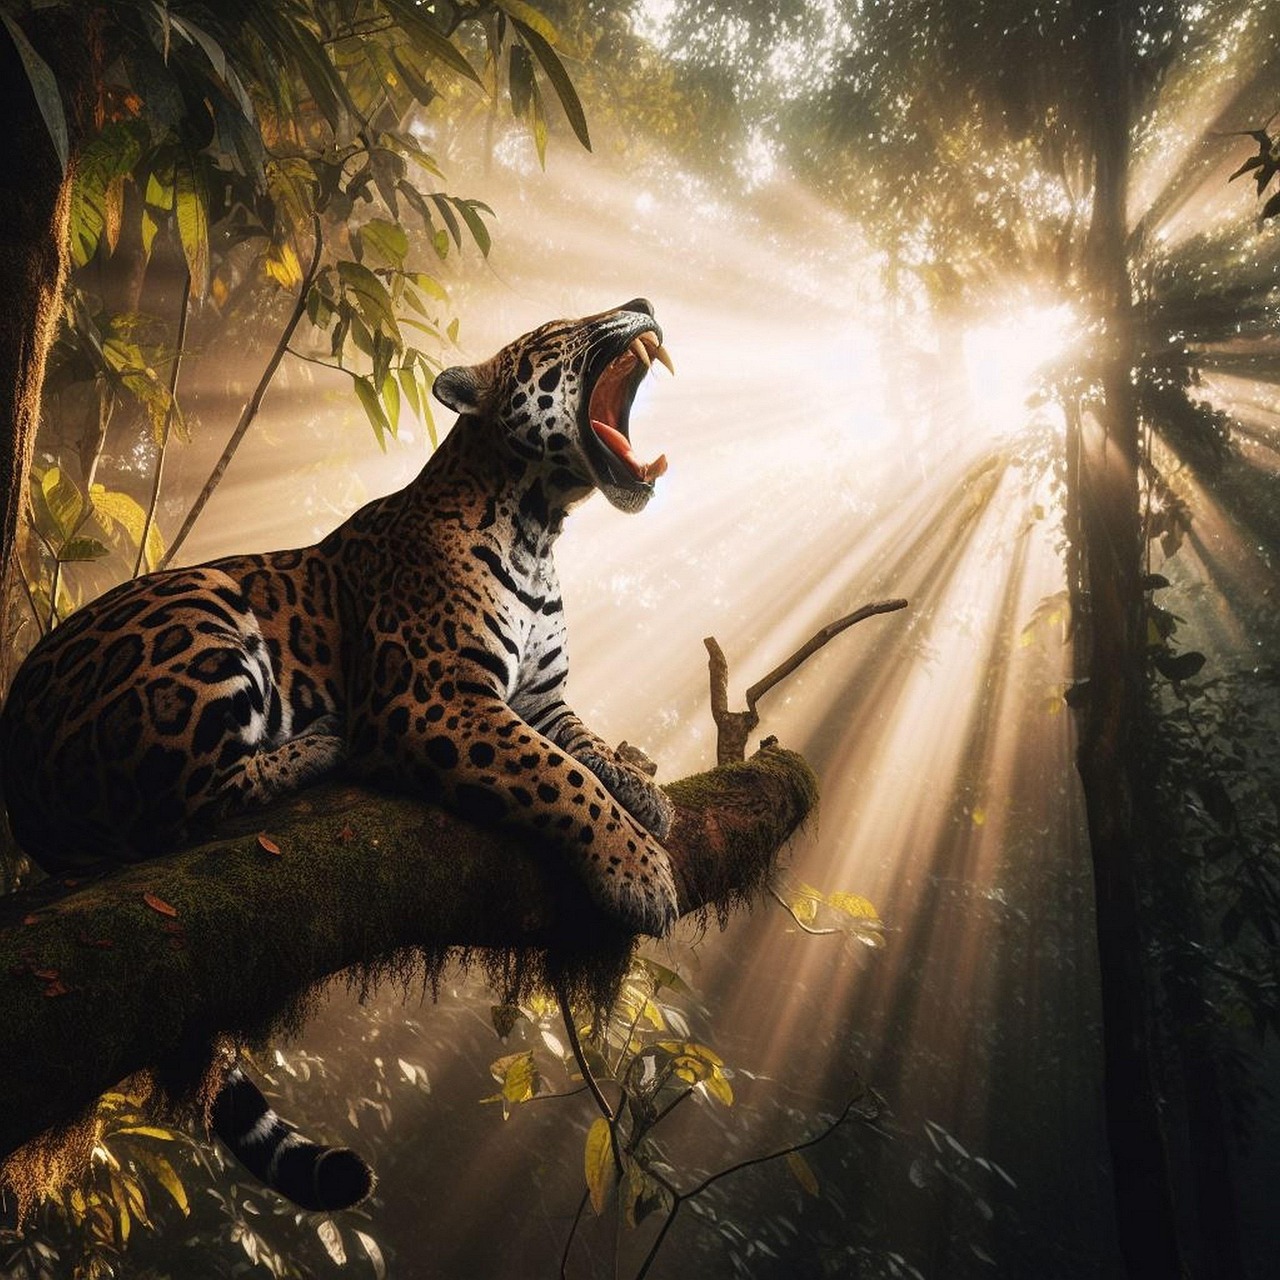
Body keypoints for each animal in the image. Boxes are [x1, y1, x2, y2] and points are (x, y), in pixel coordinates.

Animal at [0, 298, 680, 1211]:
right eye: (562, 327)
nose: (642, 305)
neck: (540, 530)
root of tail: (20, 783)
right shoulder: (433, 699)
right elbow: (557, 774)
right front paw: (637, 870)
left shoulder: (541, 699)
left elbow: (584, 745)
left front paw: (646, 789)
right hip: (203, 604)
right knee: (189, 802)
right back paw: (320, 745)